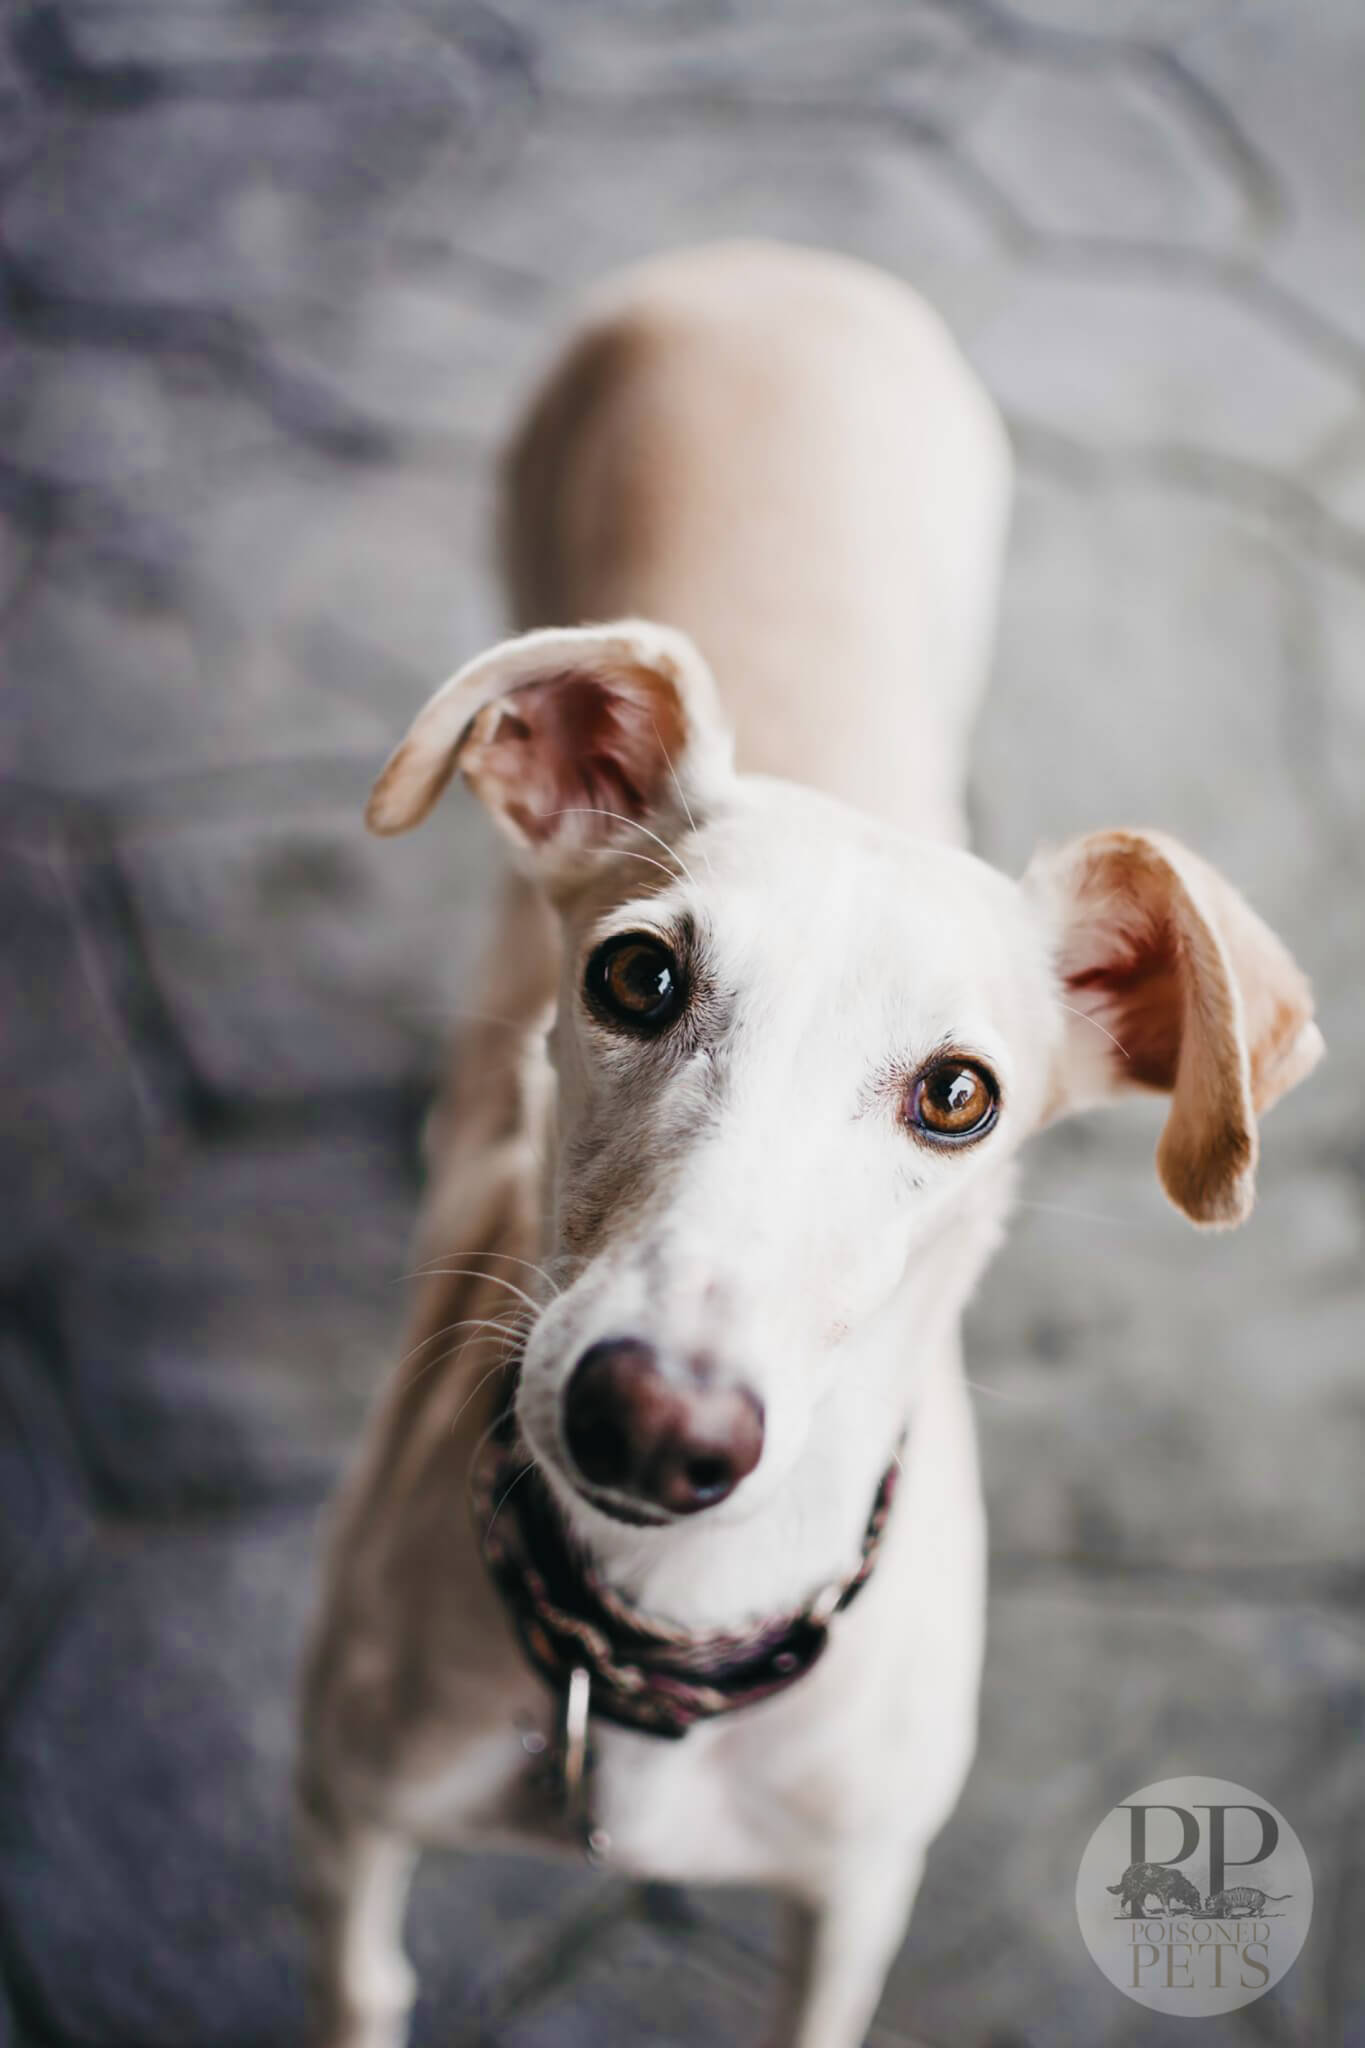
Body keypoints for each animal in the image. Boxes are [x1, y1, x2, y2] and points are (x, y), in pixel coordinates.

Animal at [300, 243, 1326, 2048]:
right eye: (636, 974)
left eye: (960, 1094)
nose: (656, 1426)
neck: (657, 1643)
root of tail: (770, 261)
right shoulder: (347, 1822)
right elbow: (365, 1979)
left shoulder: (852, 1901)